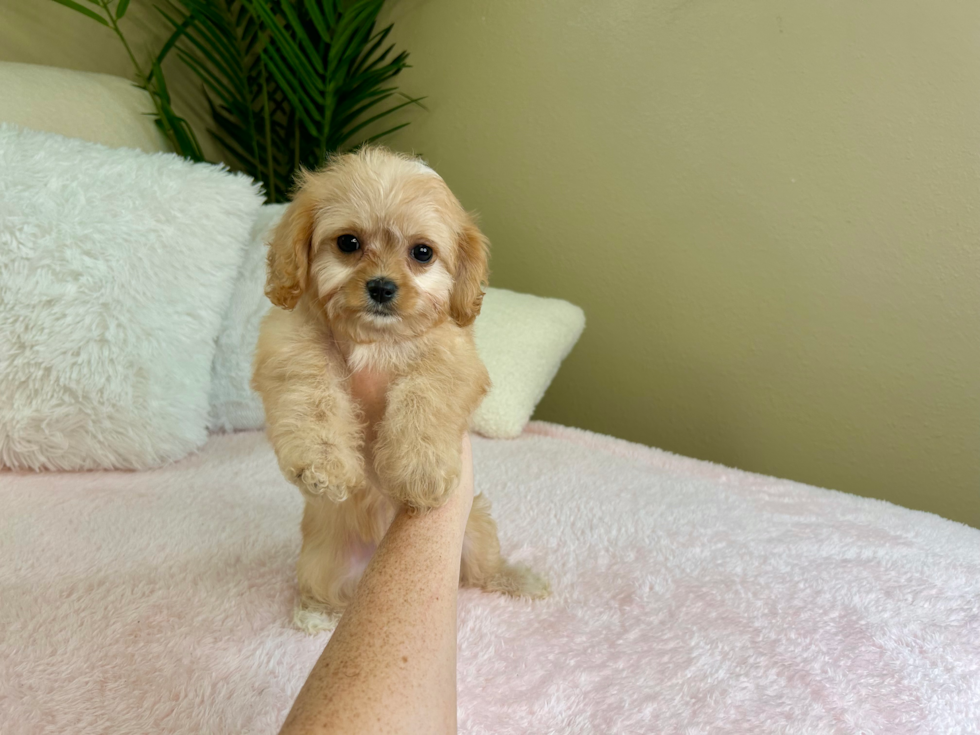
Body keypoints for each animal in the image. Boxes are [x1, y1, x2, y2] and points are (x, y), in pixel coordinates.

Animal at [249, 150, 548, 632]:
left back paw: (519, 580)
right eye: (348, 243)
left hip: (476, 529)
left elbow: (426, 393)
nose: (382, 287)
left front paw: (420, 468)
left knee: (481, 571)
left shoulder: (451, 356)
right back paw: (315, 614)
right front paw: (323, 465)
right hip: (322, 561)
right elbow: (311, 392)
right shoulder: (291, 344)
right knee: (324, 588)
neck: (376, 339)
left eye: (421, 252)